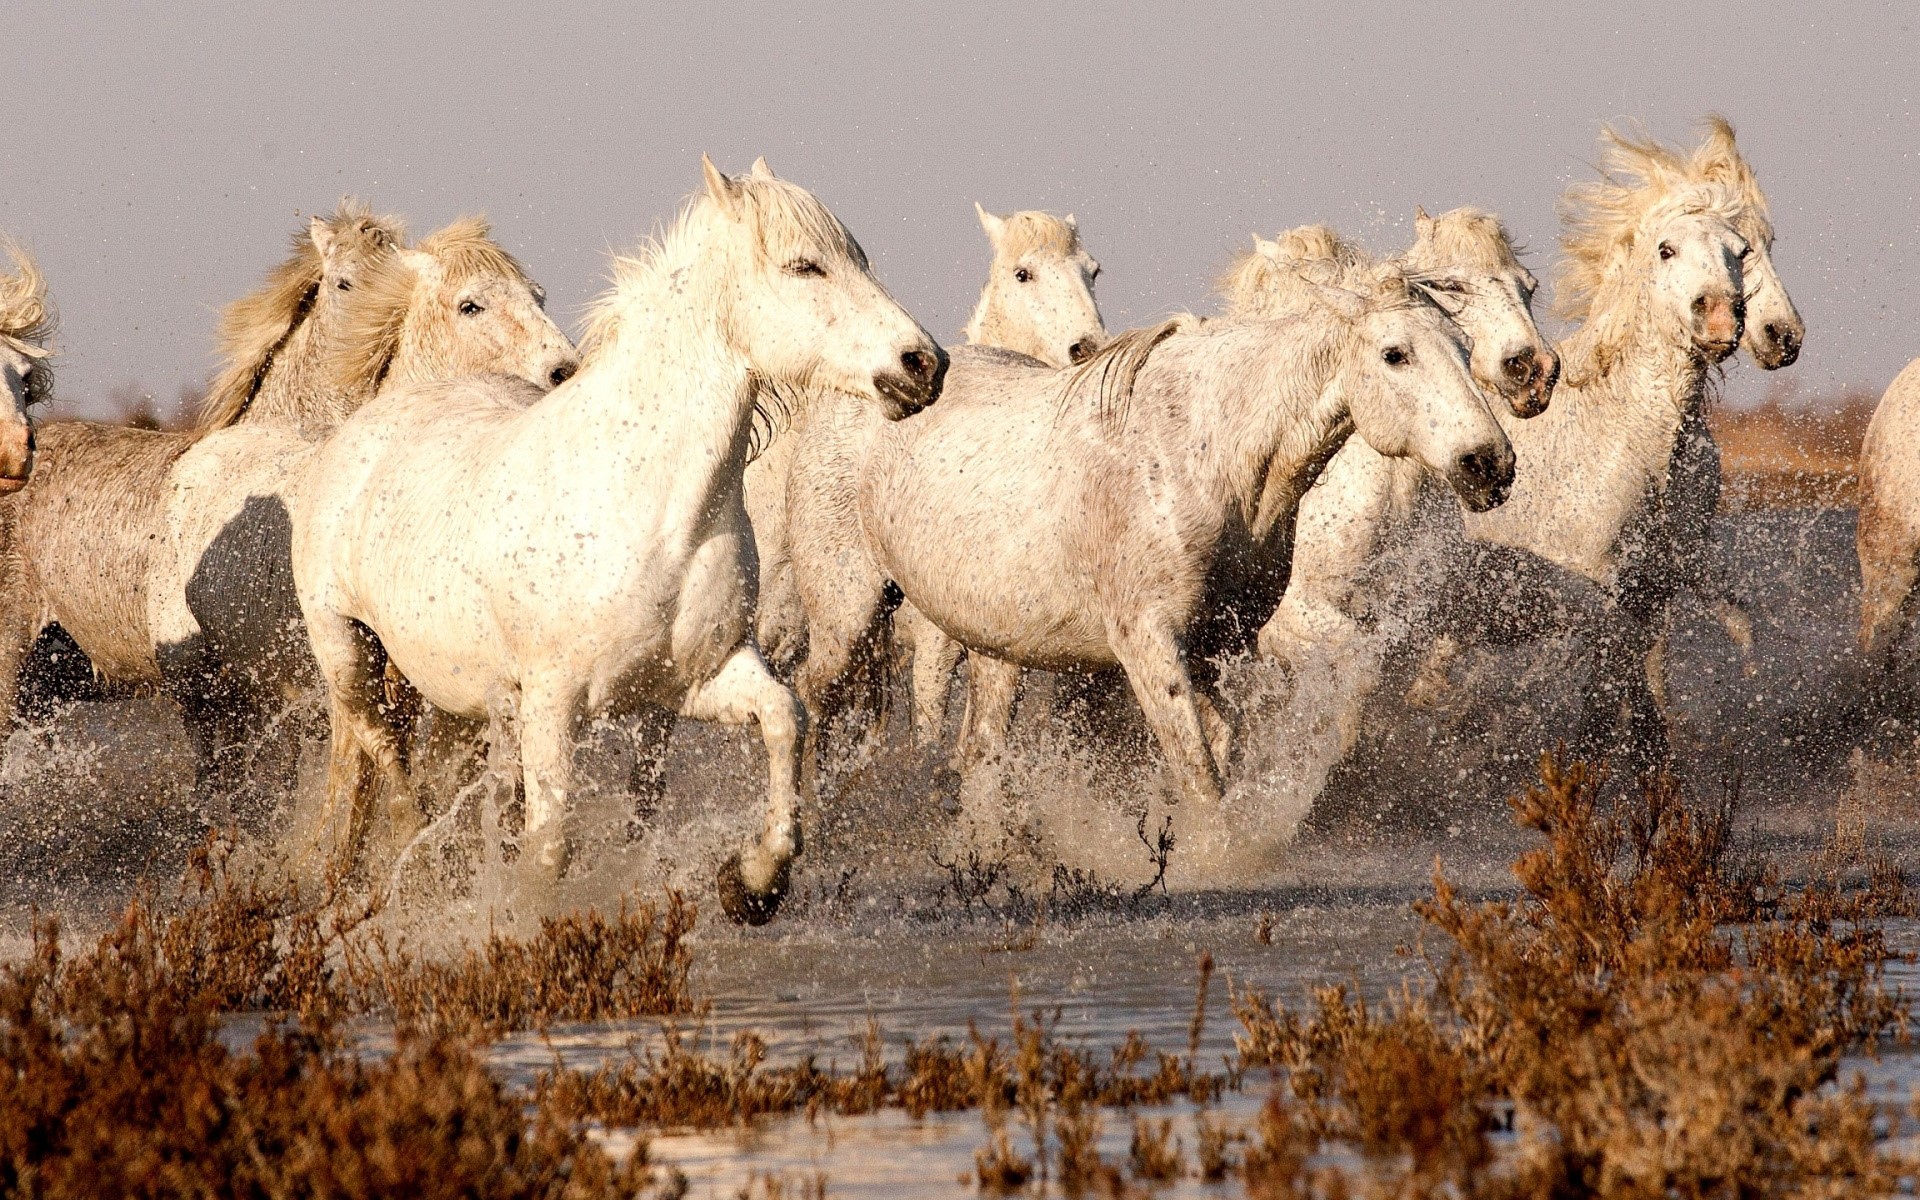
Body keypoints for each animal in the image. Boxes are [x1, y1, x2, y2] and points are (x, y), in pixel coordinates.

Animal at [290, 157, 944, 925]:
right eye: (804, 265)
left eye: (859, 260)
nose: (924, 364)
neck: (648, 506)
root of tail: (363, 426)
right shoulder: (553, 703)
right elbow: (551, 845)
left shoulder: (693, 681)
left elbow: (785, 720)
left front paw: (751, 884)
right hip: (348, 651)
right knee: (384, 752)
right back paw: (409, 862)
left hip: (466, 696)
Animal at [790, 263, 1513, 808]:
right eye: (1396, 354)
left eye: (1463, 348)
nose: (1490, 463)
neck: (1201, 454)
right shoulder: (1149, 645)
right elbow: (1199, 774)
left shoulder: (1221, 644)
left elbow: (1223, 751)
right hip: (850, 614)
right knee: (814, 698)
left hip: (993, 645)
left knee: (978, 749)